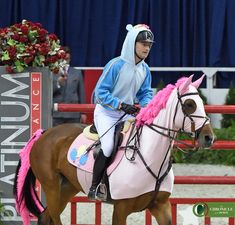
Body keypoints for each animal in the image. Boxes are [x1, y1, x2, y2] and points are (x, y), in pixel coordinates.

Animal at [12, 74, 215, 224]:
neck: (150, 157)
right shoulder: (121, 209)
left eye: (201, 103)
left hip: (68, 187)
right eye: (189, 105)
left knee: (45, 216)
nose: (209, 138)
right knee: (52, 216)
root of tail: (44, 133)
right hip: (51, 186)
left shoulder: (161, 206)